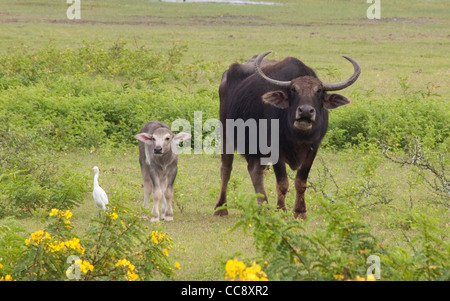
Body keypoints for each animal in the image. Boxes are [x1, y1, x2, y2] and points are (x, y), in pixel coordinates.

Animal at [214, 51, 362, 218]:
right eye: (293, 90)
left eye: (318, 91)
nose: (305, 111)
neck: (297, 136)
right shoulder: (275, 148)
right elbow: (283, 182)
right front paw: (281, 210)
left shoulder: (313, 148)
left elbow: (301, 182)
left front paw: (300, 212)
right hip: (225, 133)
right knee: (226, 168)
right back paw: (221, 207)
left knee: (255, 170)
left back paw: (263, 207)